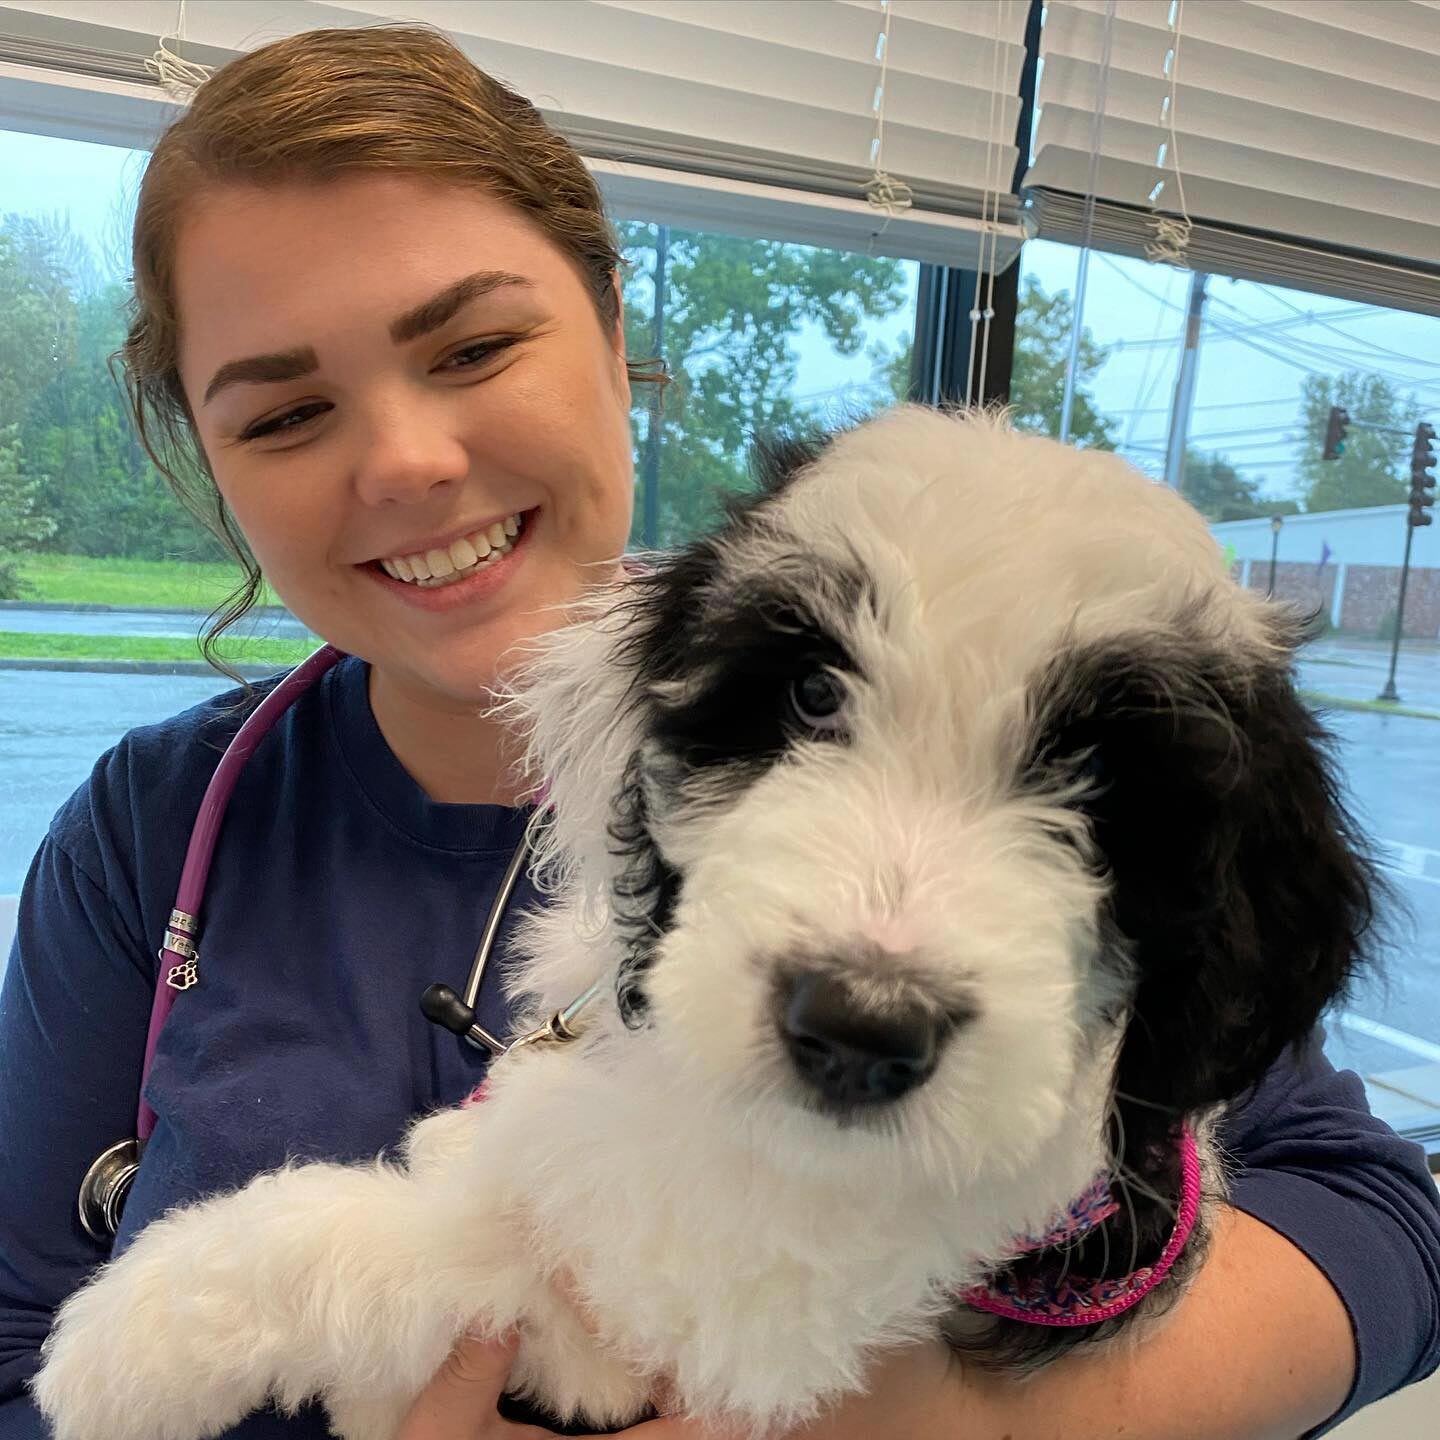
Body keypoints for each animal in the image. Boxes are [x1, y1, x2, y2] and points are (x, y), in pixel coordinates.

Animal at [39, 406, 1376, 1440]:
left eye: (1100, 778)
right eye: (813, 694)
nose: (859, 1026)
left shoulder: (736, 1300)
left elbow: (450, 1243)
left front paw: (124, 1342)